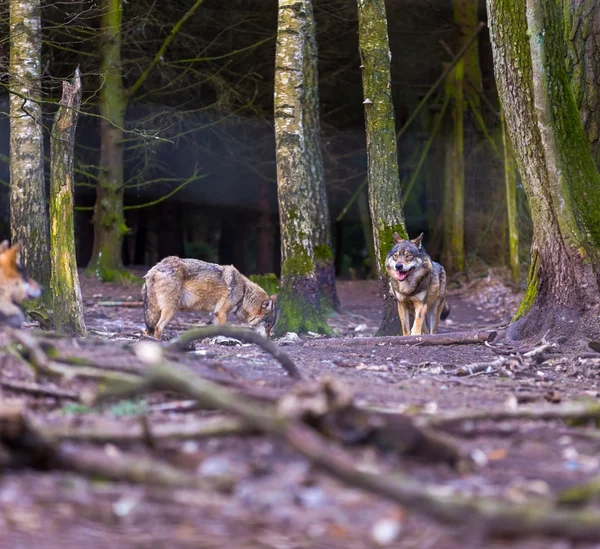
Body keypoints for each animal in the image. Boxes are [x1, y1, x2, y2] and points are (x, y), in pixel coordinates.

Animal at [142, 256, 278, 338]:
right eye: (267, 326)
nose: (269, 339)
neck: (244, 292)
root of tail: (157, 267)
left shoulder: (216, 313)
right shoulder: (221, 312)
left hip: (155, 310)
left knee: (149, 329)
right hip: (170, 310)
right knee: (158, 327)